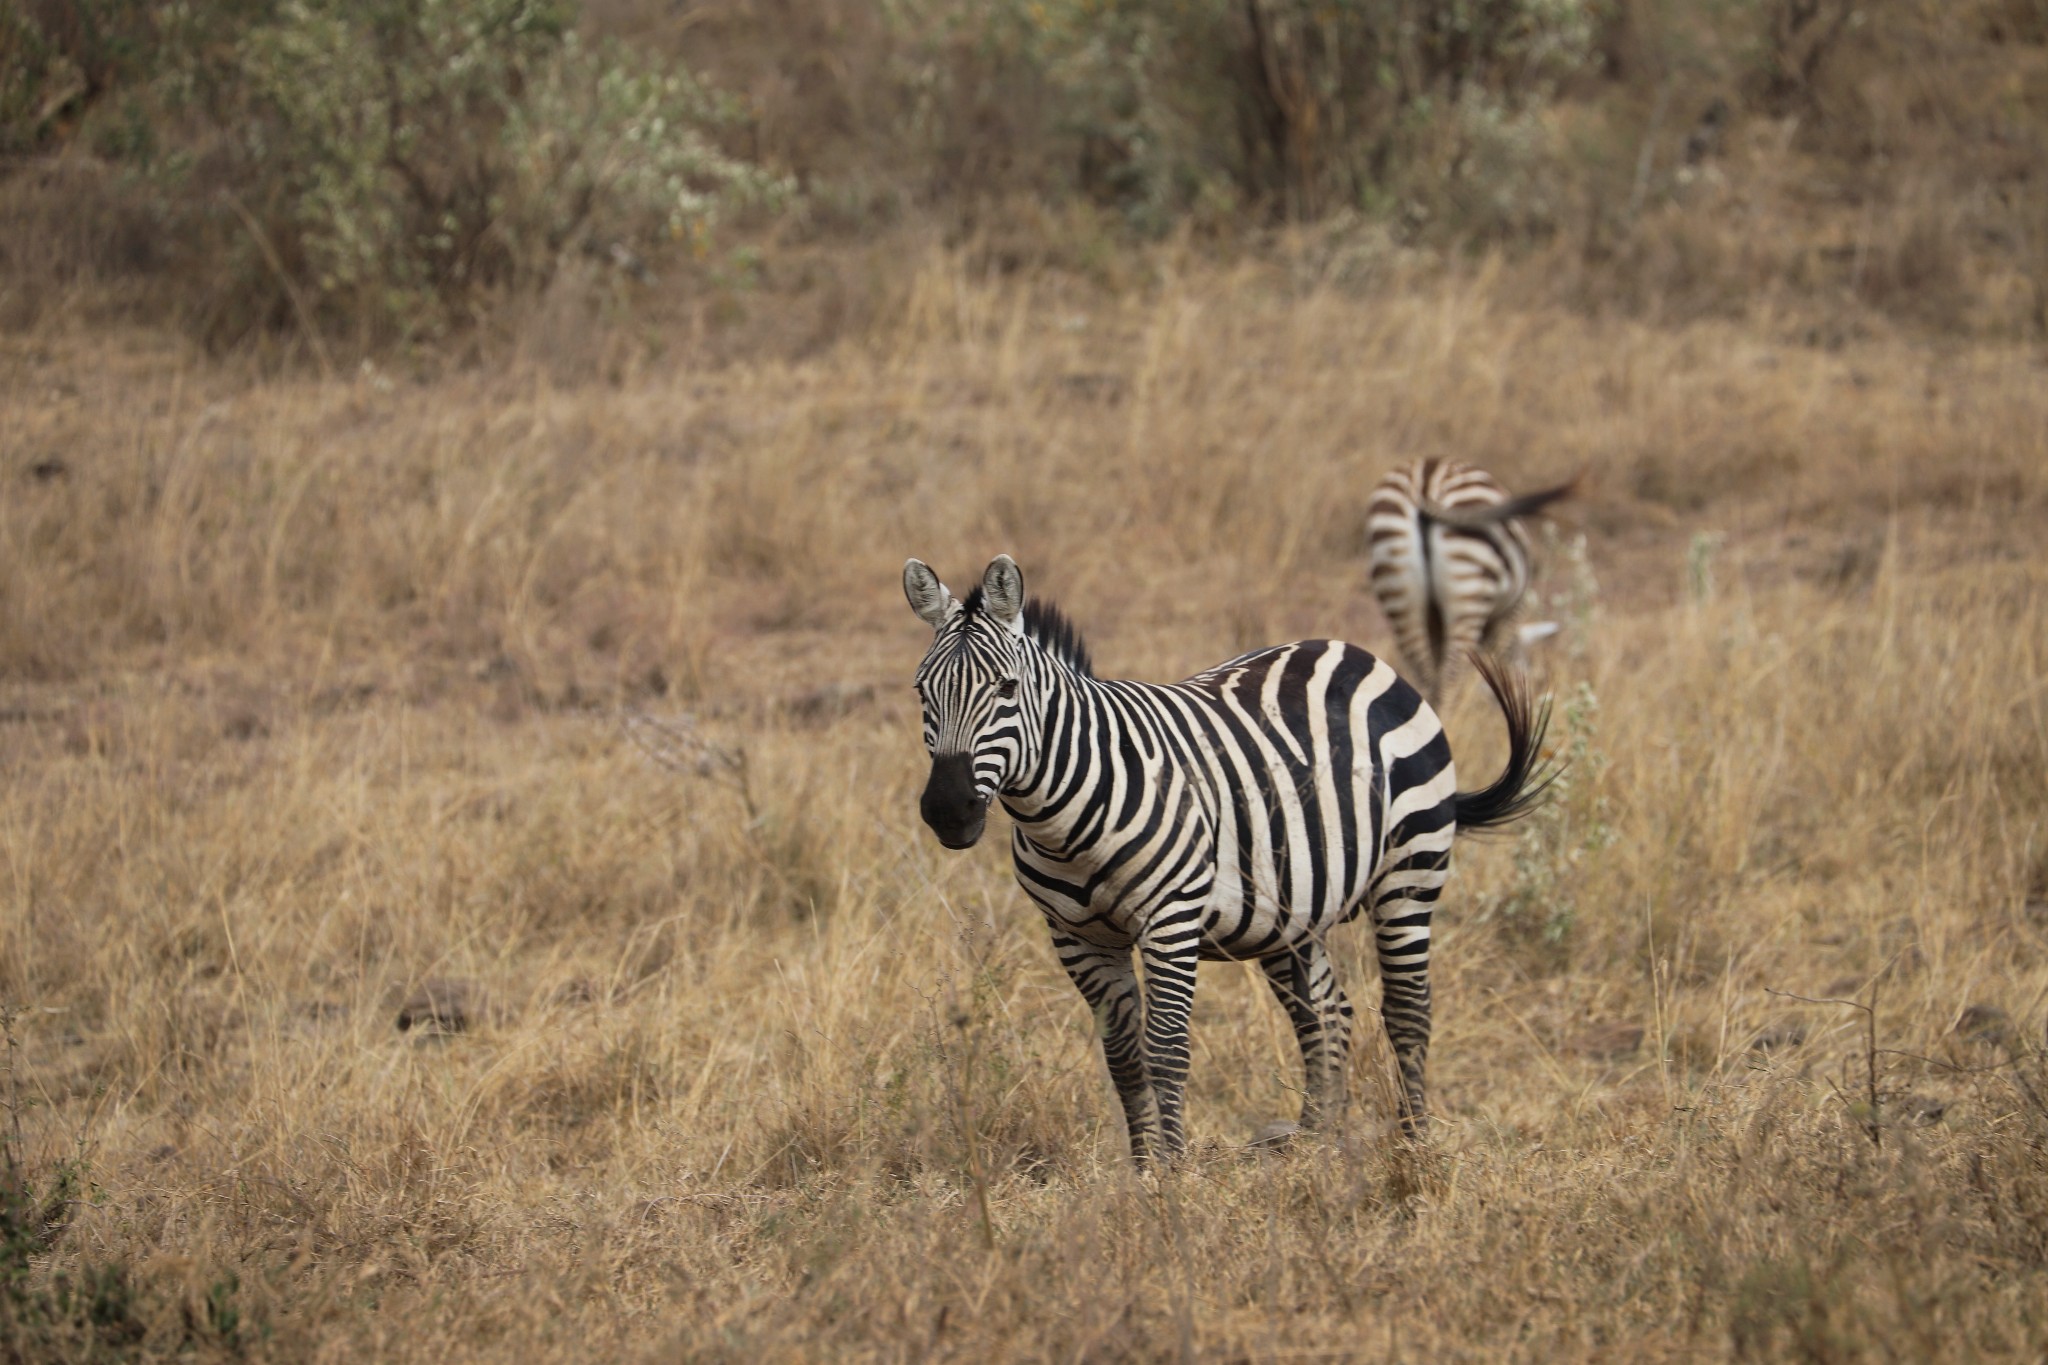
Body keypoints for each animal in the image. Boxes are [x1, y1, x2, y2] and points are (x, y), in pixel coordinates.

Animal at [901, 556, 1548, 1162]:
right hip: (1291, 909)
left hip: (1410, 868)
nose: (949, 809)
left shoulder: (1170, 920)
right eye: (922, 692)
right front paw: (1143, 1175)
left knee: (1408, 1009)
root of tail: (1355, 653)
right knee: (1327, 1014)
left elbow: (1165, 1050)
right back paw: (1316, 1144)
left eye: (1006, 690)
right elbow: (1123, 1058)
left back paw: (1414, 1146)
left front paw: (1173, 1174)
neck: (1062, 820)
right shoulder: (1076, 937)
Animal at [1368, 458, 1572, 703]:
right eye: (1530, 677)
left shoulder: (1435, 624)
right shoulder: (1510, 614)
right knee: (1450, 682)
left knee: (1428, 677)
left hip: (1398, 590)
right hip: (1469, 585)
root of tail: (1426, 483)